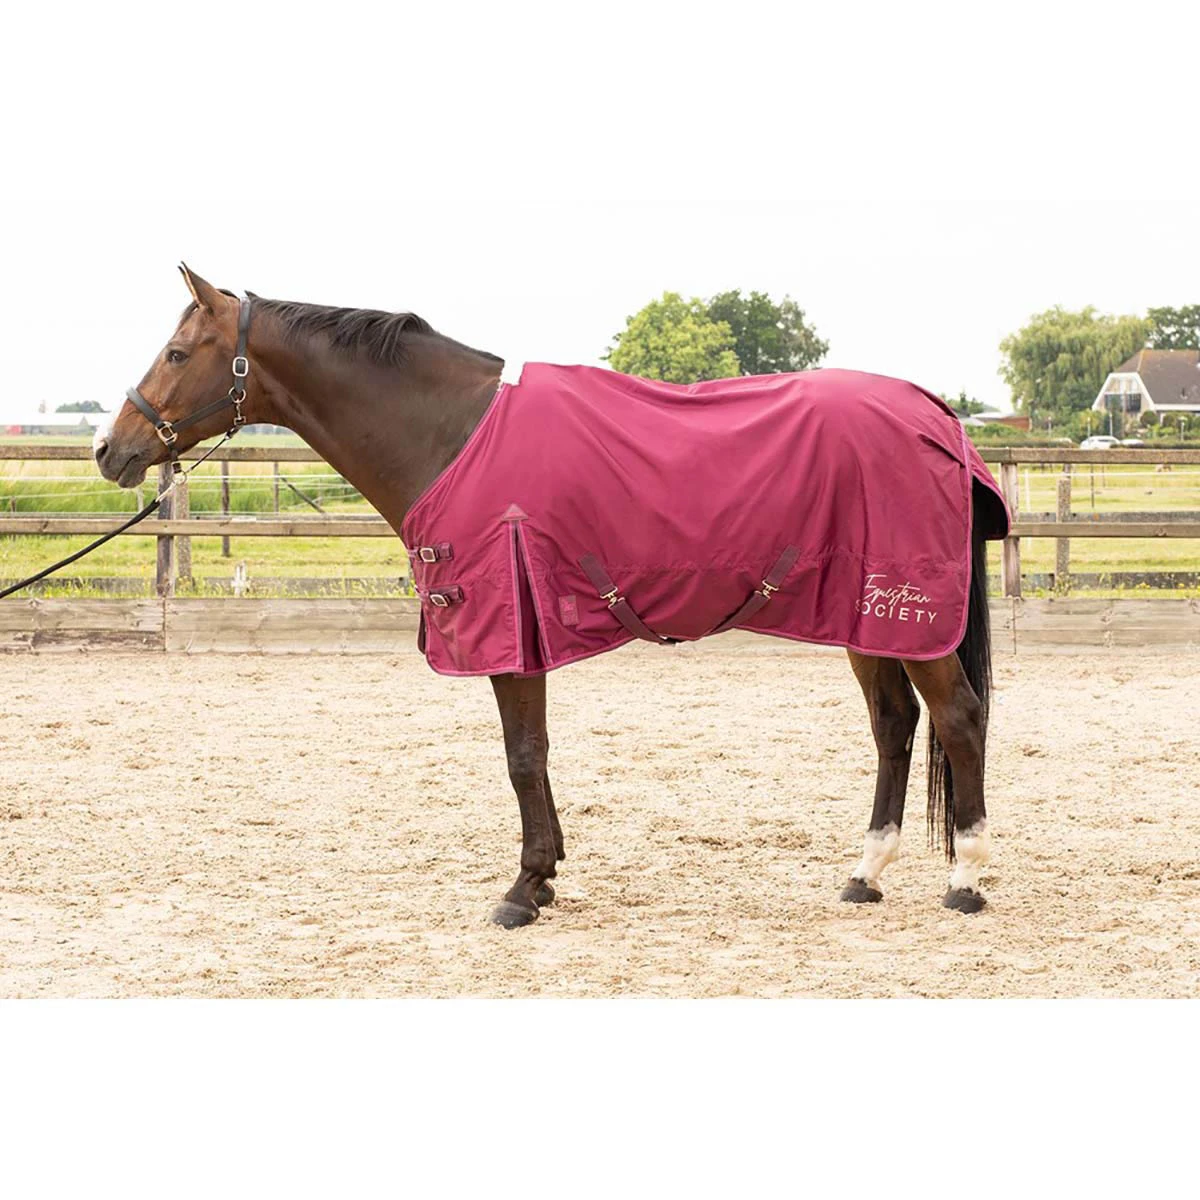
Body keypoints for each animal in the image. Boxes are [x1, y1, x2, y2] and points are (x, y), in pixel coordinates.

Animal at [94, 265, 1008, 927]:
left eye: (176, 354)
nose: (110, 448)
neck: (451, 431)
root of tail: (936, 417)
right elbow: (532, 756)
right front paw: (547, 874)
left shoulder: (508, 626)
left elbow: (522, 756)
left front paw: (523, 888)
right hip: (866, 618)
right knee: (894, 726)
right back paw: (866, 873)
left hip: (908, 615)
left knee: (958, 717)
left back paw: (966, 879)